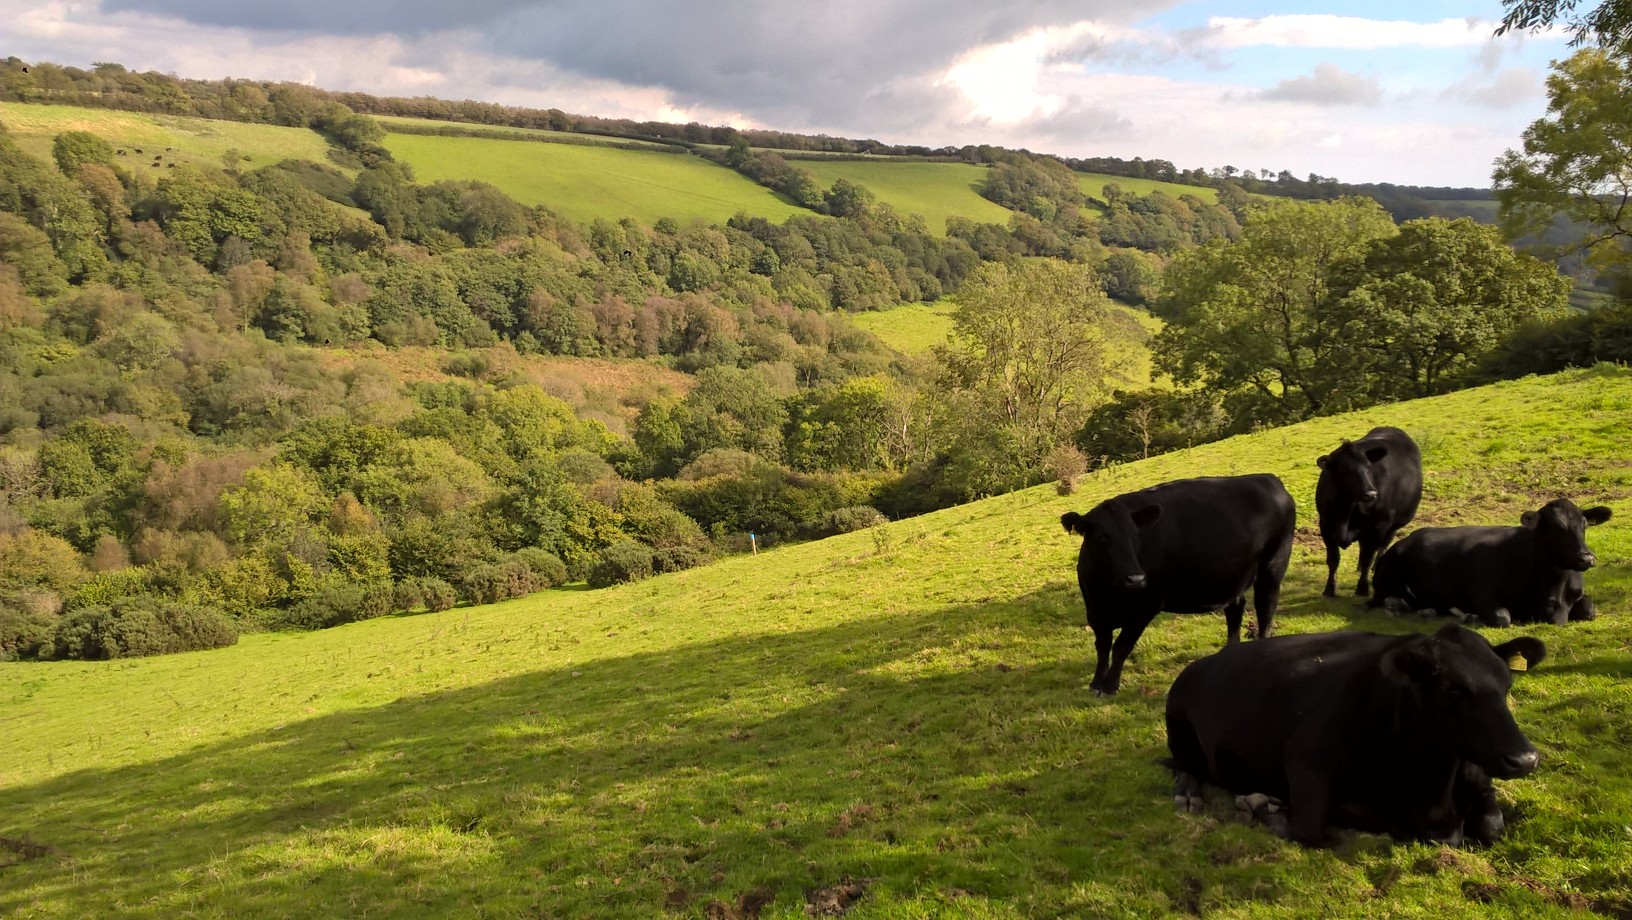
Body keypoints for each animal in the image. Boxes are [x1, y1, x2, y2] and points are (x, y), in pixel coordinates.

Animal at [1057, 473, 1299, 698]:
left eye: (1135, 535)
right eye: (1101, 537)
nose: (1136, 578)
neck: (1108, 593)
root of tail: (1267, 478)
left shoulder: (1146, 606)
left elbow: (1121, 646)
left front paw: (1109, 686)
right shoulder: (1095, 611)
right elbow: (1102, 646)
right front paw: (1096, 683)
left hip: (1273, 565)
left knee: (1266, 607)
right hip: (1231, 576)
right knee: (1236, 608)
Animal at [1161, 626, 1540, 848]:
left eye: (1507, 683)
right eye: (1453, 688)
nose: (1525, 759)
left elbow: (1492, 826)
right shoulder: (1305, 760)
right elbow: (1309, 830)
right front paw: (1269, 810)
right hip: (1178, 722)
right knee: (1184, 765)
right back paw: (1190, 796)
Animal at [1370, 499, 1612, 629]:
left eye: (1584, 525)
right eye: (1556, 527)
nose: (1586, 557)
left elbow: (1589, 610)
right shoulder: (1482, 594)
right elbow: (1503, 617)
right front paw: (1470, 616)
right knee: (1384, 599)